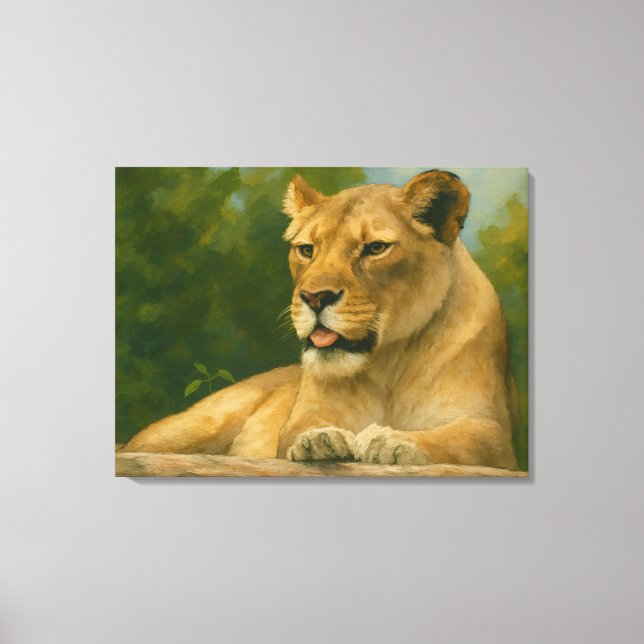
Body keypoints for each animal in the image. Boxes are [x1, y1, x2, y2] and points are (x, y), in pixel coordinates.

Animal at [122, 170, 519, 470]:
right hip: (189, 427)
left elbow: (462, 439)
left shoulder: (492, 429)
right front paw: (321, 440)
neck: (389, 360)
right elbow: (299, 431)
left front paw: (393, 441)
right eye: (307, 250)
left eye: (375, 248)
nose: (314, 297)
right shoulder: (308, 413)